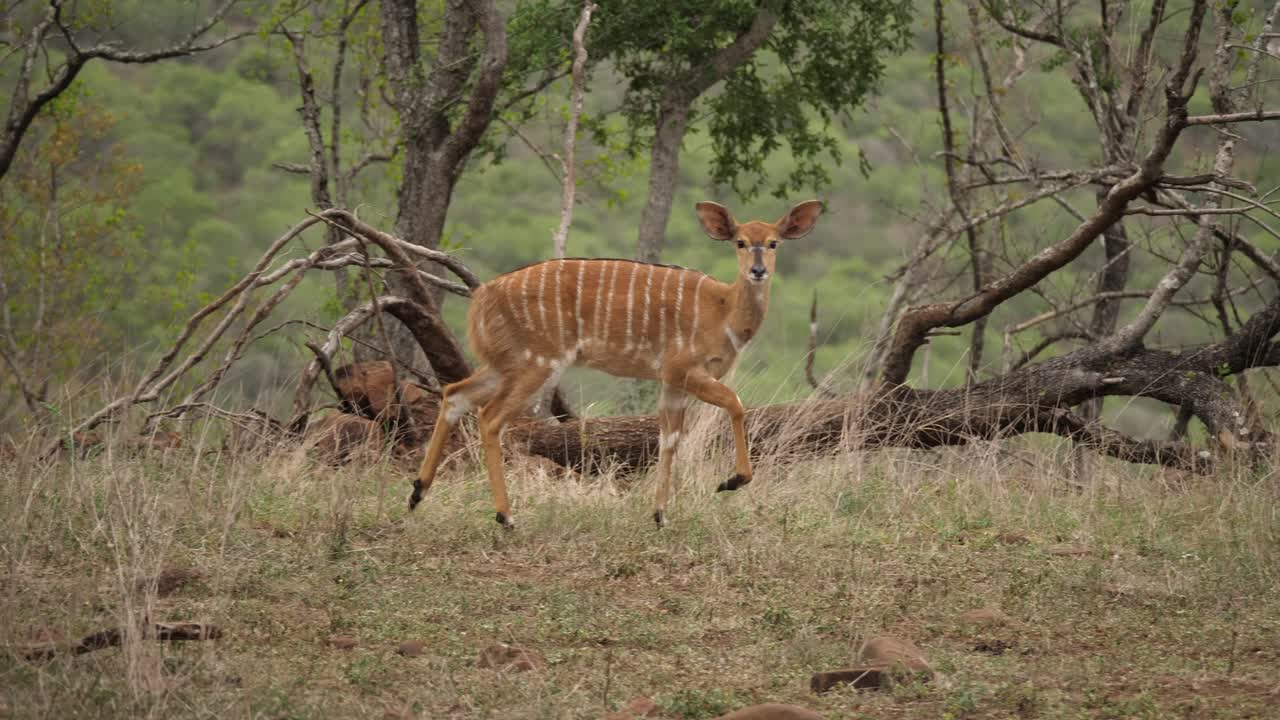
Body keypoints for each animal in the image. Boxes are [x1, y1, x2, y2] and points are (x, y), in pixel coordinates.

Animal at [410, 200, 824, 528]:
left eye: (773, 242)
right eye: (740, 241)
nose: (758, 270)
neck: (723, 310)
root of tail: (482, 296)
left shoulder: (671, 383)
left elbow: (668, 438)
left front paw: (660, 515)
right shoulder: (684, 370)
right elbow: (735, 405)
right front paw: (731, 481)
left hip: (504, 363)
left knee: (455, 394)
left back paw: (417, 492)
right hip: (537, 362)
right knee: (490, 417)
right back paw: (505, 516)